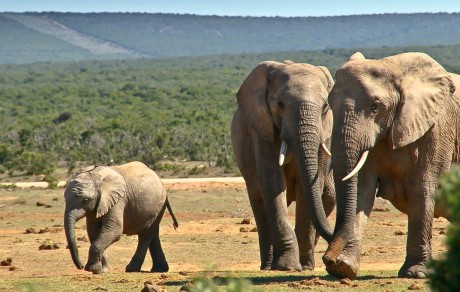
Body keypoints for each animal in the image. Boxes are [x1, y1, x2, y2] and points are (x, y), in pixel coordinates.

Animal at [232, 60, 336, 272]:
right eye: (280, 104)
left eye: (325, 106)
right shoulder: (263, 128)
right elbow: (273, 182)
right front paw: (287, 267)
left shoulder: (325, 130)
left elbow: (310, 187)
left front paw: (305, 267)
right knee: (260, 202)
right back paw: (267, 266)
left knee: (328, 197)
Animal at [326, 51, 460, 280]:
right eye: (330, 103)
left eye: (375, 107)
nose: (327, 259)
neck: (394, 68)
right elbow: (362, 191)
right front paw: (344, 267)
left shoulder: (438, 129)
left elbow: (422, 189)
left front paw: (416, 273)